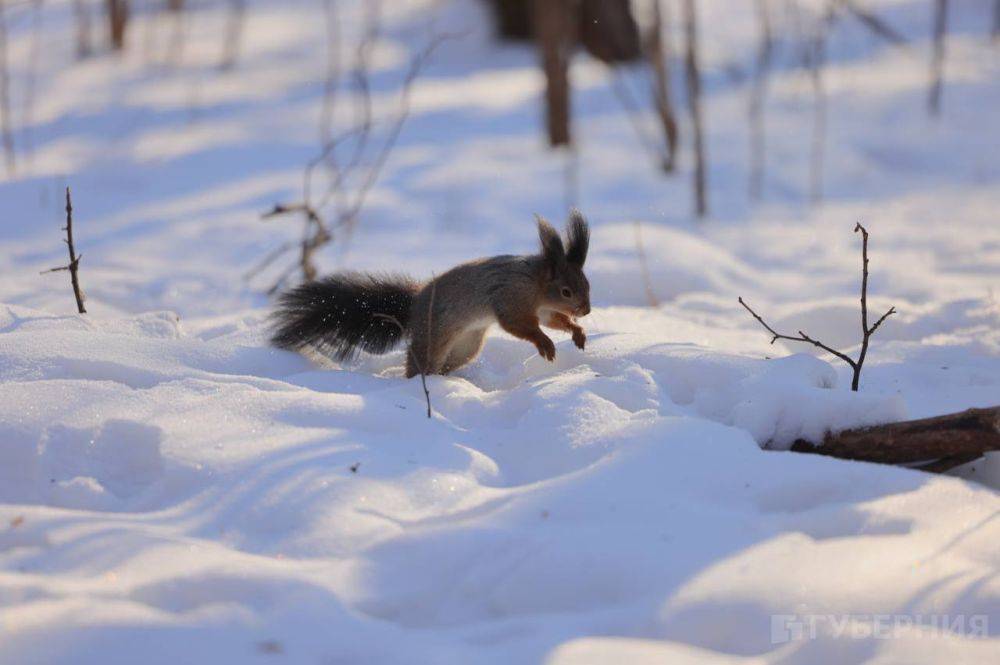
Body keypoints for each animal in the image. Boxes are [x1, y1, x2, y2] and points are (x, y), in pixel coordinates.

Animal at [270, 208, 588, 376]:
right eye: (566, 291)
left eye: (586, 284)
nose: (586, 310)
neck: (536, 284)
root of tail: (414, 306)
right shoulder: (511, 296)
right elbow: (520, 325)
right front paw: (545, 344)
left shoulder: (543, 309)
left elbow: (552, 320)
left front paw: (577, 332)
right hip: (433, 337)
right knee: (419, 362)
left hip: (465, 347)